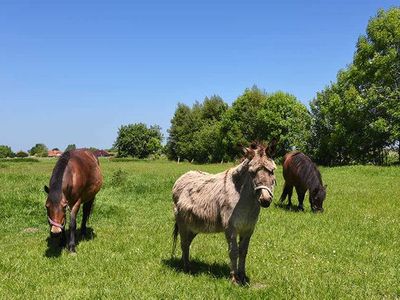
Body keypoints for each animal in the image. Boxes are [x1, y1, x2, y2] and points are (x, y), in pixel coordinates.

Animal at [172, 141, 278, 286]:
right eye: (252, 173)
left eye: (272, 170)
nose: (265, 200)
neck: (245, 200)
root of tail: (182, 177)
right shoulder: (230, 229)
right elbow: (233, 252)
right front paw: (234, 278)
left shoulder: (248, 229)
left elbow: (243, 251)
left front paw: (242, 276)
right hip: (182, 224)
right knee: (183, 244)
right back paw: (186, 268)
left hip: (193, 227)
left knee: (187, 243)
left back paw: (187, 265)